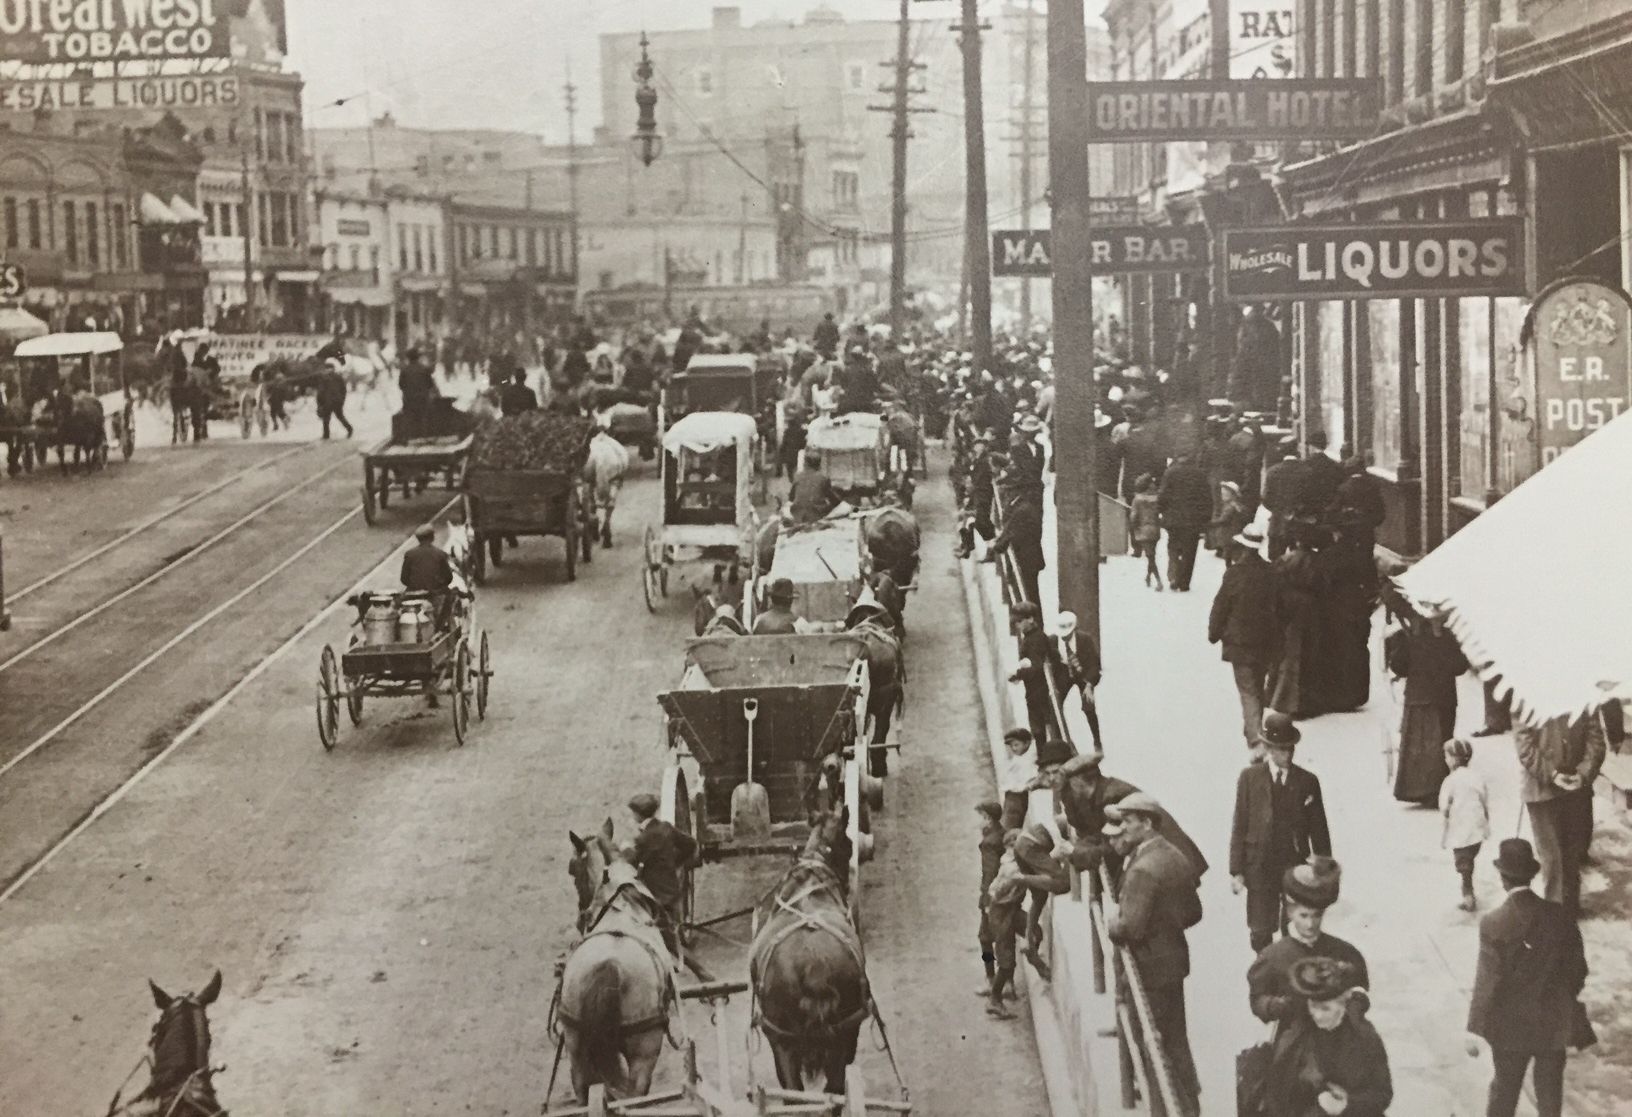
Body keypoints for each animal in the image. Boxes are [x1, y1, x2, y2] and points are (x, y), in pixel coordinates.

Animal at [561, 816, 675, 1103]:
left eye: (572, 870)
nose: (580, 918)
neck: (620, 898)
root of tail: (609, 965)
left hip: (576, 1051)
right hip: (644, 1050)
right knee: (636, 1095)